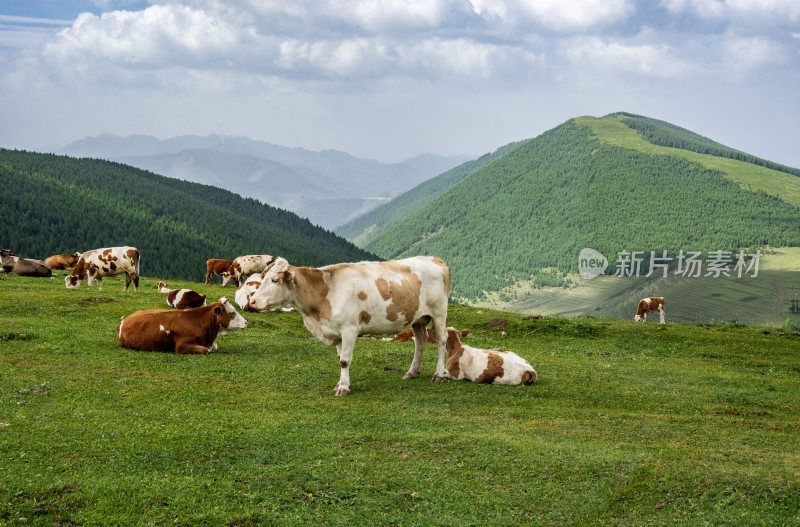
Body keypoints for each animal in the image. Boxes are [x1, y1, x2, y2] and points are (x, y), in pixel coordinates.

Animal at [116, 296, 247, 354]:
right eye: (232, 313)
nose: (246, 322)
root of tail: (123, 321)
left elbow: (214, 346)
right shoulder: (181, 346)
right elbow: (206, 350)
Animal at [250, 256, 450, 396]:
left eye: (274, 280)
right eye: (264, 278)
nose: (252, 301)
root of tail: (435, 259)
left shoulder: (349, 329)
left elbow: (345, 360)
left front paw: (344, 388)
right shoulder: (336, 331)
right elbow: (340, 358)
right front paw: (340, 383)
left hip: (439, 313)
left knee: (441, 341)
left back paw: (439, 374)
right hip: (418, 318)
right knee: (421, 342)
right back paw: (411, 372)